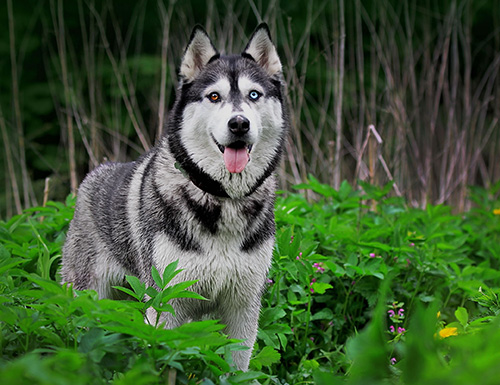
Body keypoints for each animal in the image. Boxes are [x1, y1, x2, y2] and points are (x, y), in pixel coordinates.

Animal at [61, 23, 290, 368]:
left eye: (254, 95)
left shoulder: (243, 307)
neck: (222, 198)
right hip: (89, 296)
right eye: (214, 96)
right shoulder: (165, 304)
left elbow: (235, 367)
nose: (239, 123)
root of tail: (93, 174)